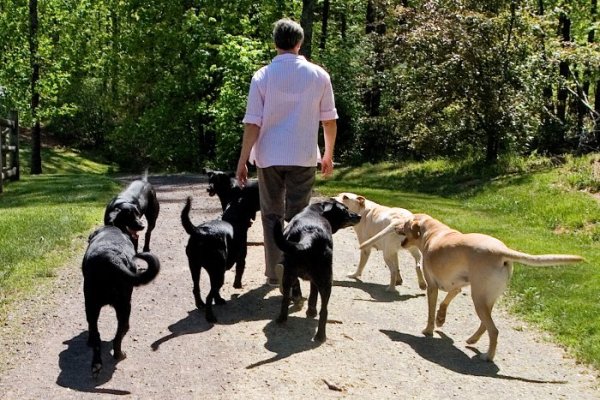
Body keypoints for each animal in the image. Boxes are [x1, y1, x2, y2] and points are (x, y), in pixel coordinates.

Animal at [83, 225, 162, 378]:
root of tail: (111, 259)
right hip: (125, 306)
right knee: (118, 335)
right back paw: (119, 355)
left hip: (92, 305)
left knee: (96, 335)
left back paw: (96, 364)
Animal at [274, 199, 360, 340]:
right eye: (345, 209)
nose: (359, 215)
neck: (318, 210)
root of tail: (308, 237)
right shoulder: (315, 280)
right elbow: (313, 295)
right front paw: (311, 311)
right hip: (327, 280)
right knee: (324, 310)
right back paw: (321, 336)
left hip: (288, 274)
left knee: (285, 299)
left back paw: (282, 319)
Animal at [386, 216, 584, 362]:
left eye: (405, 224)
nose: (395, 227)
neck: (432, 232)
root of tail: (501, 251)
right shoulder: (457, 286)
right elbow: (445, 301)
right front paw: (441, 318)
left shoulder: (432, 287)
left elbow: (431, 310)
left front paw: (429, 329)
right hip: (486, 298)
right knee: (485, 324)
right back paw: (473, 339)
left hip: (479, 298)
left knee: (494, 330)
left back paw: (488, 356)